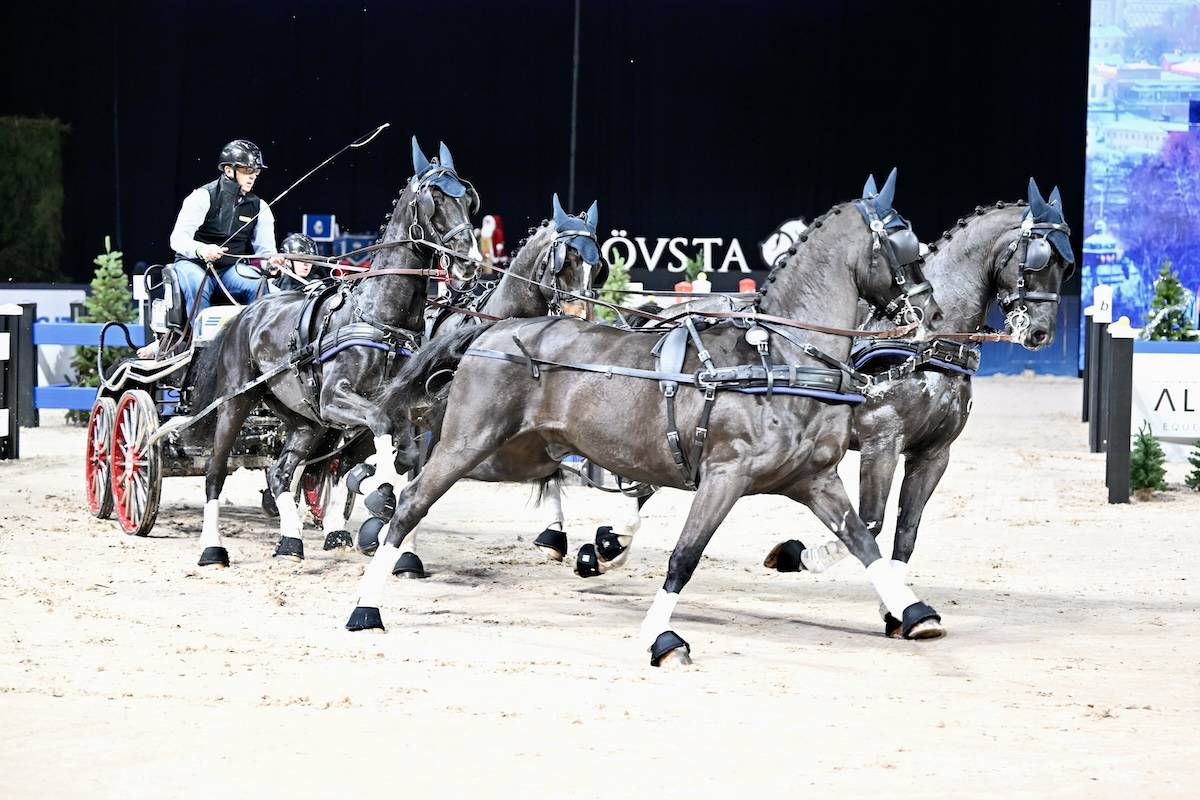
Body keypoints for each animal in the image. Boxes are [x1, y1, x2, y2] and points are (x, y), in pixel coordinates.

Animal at [180, 137, 481, 568]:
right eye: (434, 198)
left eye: (469, 199)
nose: (469, 263)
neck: (377, 316)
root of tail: (245, 314)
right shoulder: (338, 398)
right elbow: (380, 431)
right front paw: (380, 497)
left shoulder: (401, 408)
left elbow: (404, 452)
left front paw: (383, 507)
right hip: (238, 403)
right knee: (215, 472)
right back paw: (212, 549)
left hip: (307, 420)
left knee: (281, 472)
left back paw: (290, 541)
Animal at [345, 169, 952, 667]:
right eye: (904, 242)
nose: (935, 314)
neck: (775, 358)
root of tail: (491, 330)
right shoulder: (724, 476)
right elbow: (685, 556)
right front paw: (662, 638)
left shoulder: (815, 480)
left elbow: (864, 540)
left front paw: (914, 613)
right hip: (470, 441)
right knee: (412, 500)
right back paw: (366, 603)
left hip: (512, 456)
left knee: (413, 483)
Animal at [764, 179, 1075, 636]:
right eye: (1037, 257)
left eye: (1066, 266)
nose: (1040, 334)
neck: (926, 343)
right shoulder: (882, 441)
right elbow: (869, 524)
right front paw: (793, 555)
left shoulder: (932, 454)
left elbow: (906, 531)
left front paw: (897, 611)